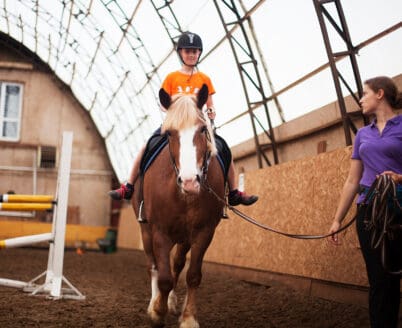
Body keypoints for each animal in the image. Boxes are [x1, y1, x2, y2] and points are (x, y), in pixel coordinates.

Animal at [133, 85, 225, 328]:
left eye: (202, 129)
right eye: (169, 134)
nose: (190, 182)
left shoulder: (204, 232)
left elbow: (192, 276)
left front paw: (189, 317)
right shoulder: (159, 231)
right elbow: (163, 277)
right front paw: (157, 311)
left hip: (184, 237)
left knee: (177, 264)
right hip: (146, 231)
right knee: (154, 266)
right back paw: (156, 301)